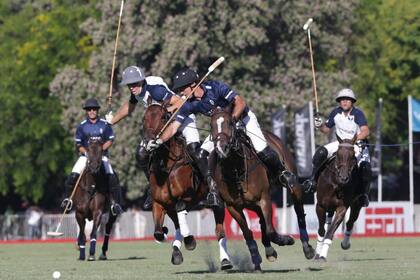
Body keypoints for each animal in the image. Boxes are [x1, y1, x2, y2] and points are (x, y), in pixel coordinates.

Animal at [143, 104, 231, 270]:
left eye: (163, 117)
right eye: (144, 117)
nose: (149, 141)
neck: (166, 167)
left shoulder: (187, 197)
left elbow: (180, 209)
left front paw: (190, 240)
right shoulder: (159, 203)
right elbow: (158, 232)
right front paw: (166, 233)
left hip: (218, 204)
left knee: (219, 231)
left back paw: (225, 261)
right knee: (177, 223)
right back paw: (176, 252)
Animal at [212, 106, 314, 270]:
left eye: (229, 123)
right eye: (212, 125)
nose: (221, 148)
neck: (236, 168)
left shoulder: (264, 198)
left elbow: (271, 230)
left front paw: (286, 240)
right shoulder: (233, 206)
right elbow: (247, 232)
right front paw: (256, 258)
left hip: (293, 186)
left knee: (299, 212)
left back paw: (307, 248)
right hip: (252, 204)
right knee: (261, 220)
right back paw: (268, 250)